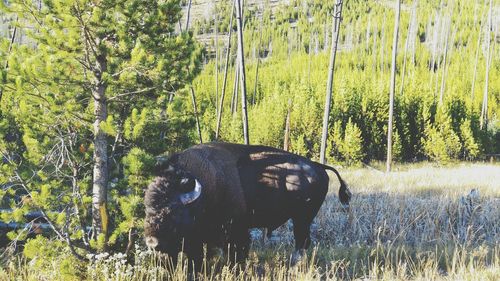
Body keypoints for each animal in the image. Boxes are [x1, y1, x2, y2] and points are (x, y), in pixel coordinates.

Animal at [143, 141, 350, 266]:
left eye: (174, 211)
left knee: (302, 242)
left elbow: (237, 253)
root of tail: (318, 166)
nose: (153, 242)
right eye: (147, 208)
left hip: (302, 219)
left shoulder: (235, 231)